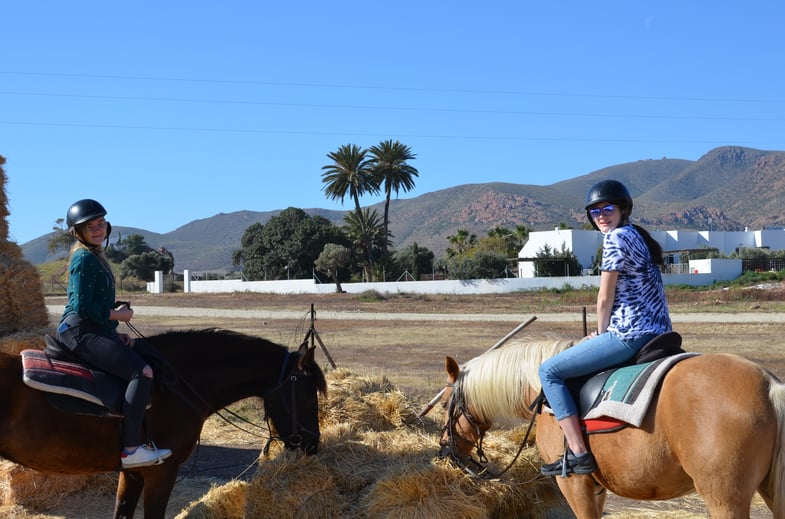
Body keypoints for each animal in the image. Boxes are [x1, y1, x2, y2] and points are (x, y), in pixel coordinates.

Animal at [438, 340, 784, 519]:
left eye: (443, 405)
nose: (446, 452)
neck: (543, 393)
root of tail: (768, 384)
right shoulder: (597, 487)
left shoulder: (573, 484)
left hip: (724, 497)